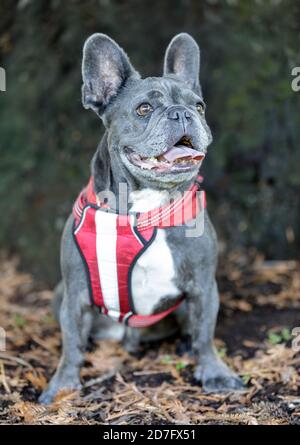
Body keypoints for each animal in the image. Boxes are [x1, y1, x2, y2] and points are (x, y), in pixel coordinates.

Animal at [38, 33, 244, 404]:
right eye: (144, 109)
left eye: (199, 106)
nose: (182, 113)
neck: (148, 210)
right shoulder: (75, 292)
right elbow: (71, 341)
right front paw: (62, 385)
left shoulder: (204, 285)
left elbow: (205, 332)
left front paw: (215, 372)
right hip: (60, 293)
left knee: (191, 329)